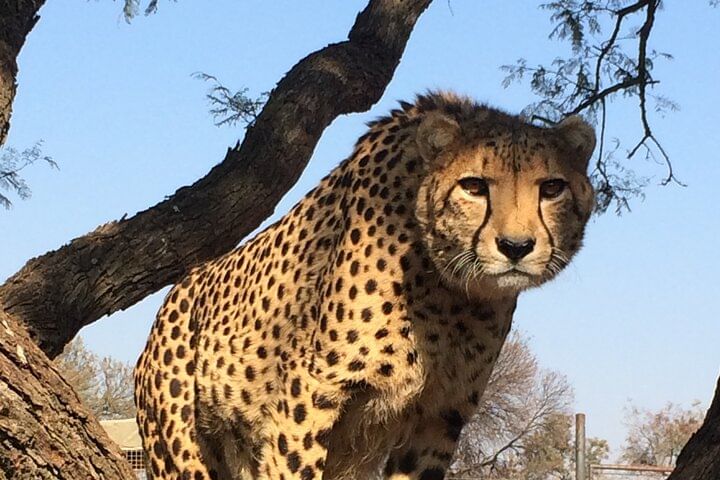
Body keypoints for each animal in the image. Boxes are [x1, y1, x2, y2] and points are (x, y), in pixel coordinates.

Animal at [134, 91, 596, 480]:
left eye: (552, 188)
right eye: (474, 186)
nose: (516, 246)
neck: (447, 288)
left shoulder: (440, 413)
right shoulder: (311, 393)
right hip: (184, 451)